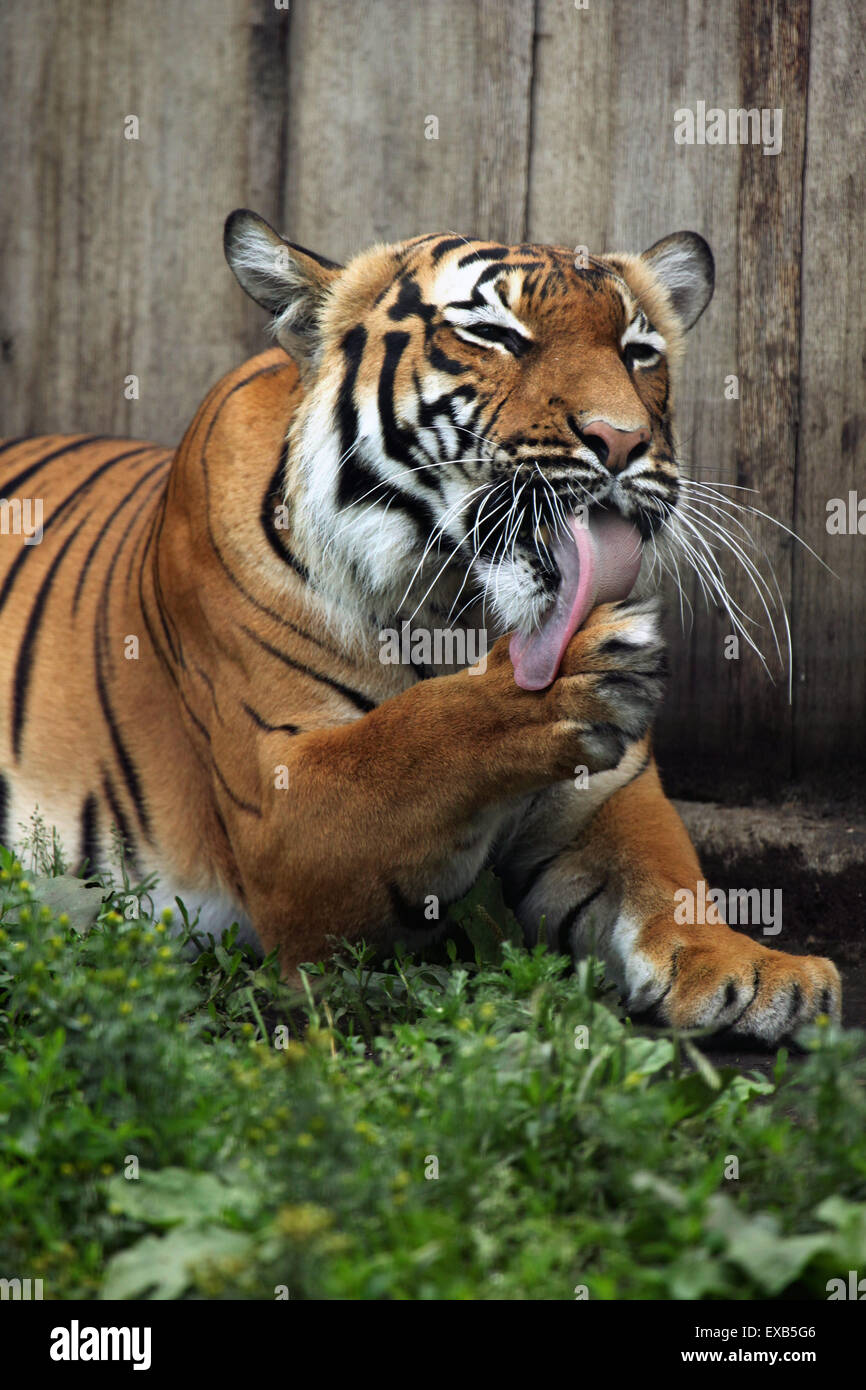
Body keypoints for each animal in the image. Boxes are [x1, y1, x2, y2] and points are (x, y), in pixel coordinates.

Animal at [0, 208, 841, 1043]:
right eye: (497, 335)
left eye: (640, 352)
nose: (623, 440)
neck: (457, 609)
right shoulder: (285, 812)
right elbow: (417, 740)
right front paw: (561, 679)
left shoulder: (603, 800)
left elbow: (665, 876)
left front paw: (758, 969)